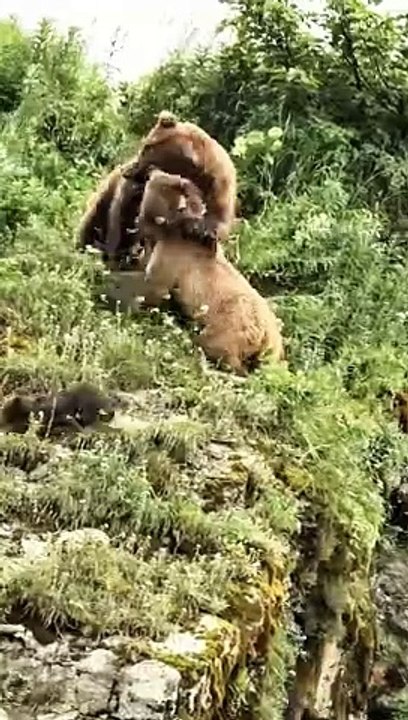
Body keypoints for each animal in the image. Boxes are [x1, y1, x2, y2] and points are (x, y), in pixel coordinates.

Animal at [138, 169, 284, 375]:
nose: (153, 172)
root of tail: (264, 335)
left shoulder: (173, 258)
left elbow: (156, 288)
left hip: (229, 327)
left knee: (216, 346)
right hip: (272, 343)